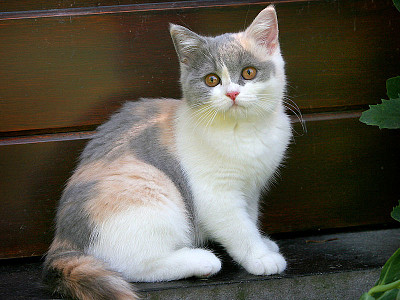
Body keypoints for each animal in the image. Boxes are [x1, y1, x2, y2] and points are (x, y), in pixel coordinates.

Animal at [43, 5, 290, 300]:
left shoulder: (250, 190)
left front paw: (262, 243)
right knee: (133, 265)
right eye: (212, 80)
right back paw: (201, 261)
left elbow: (249, 218)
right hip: (150, 188)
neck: (243, 131)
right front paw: (260, 257)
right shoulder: (216, 196)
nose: (232, 93)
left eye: (249, 73)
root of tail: (62, 242)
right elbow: (239, 229)